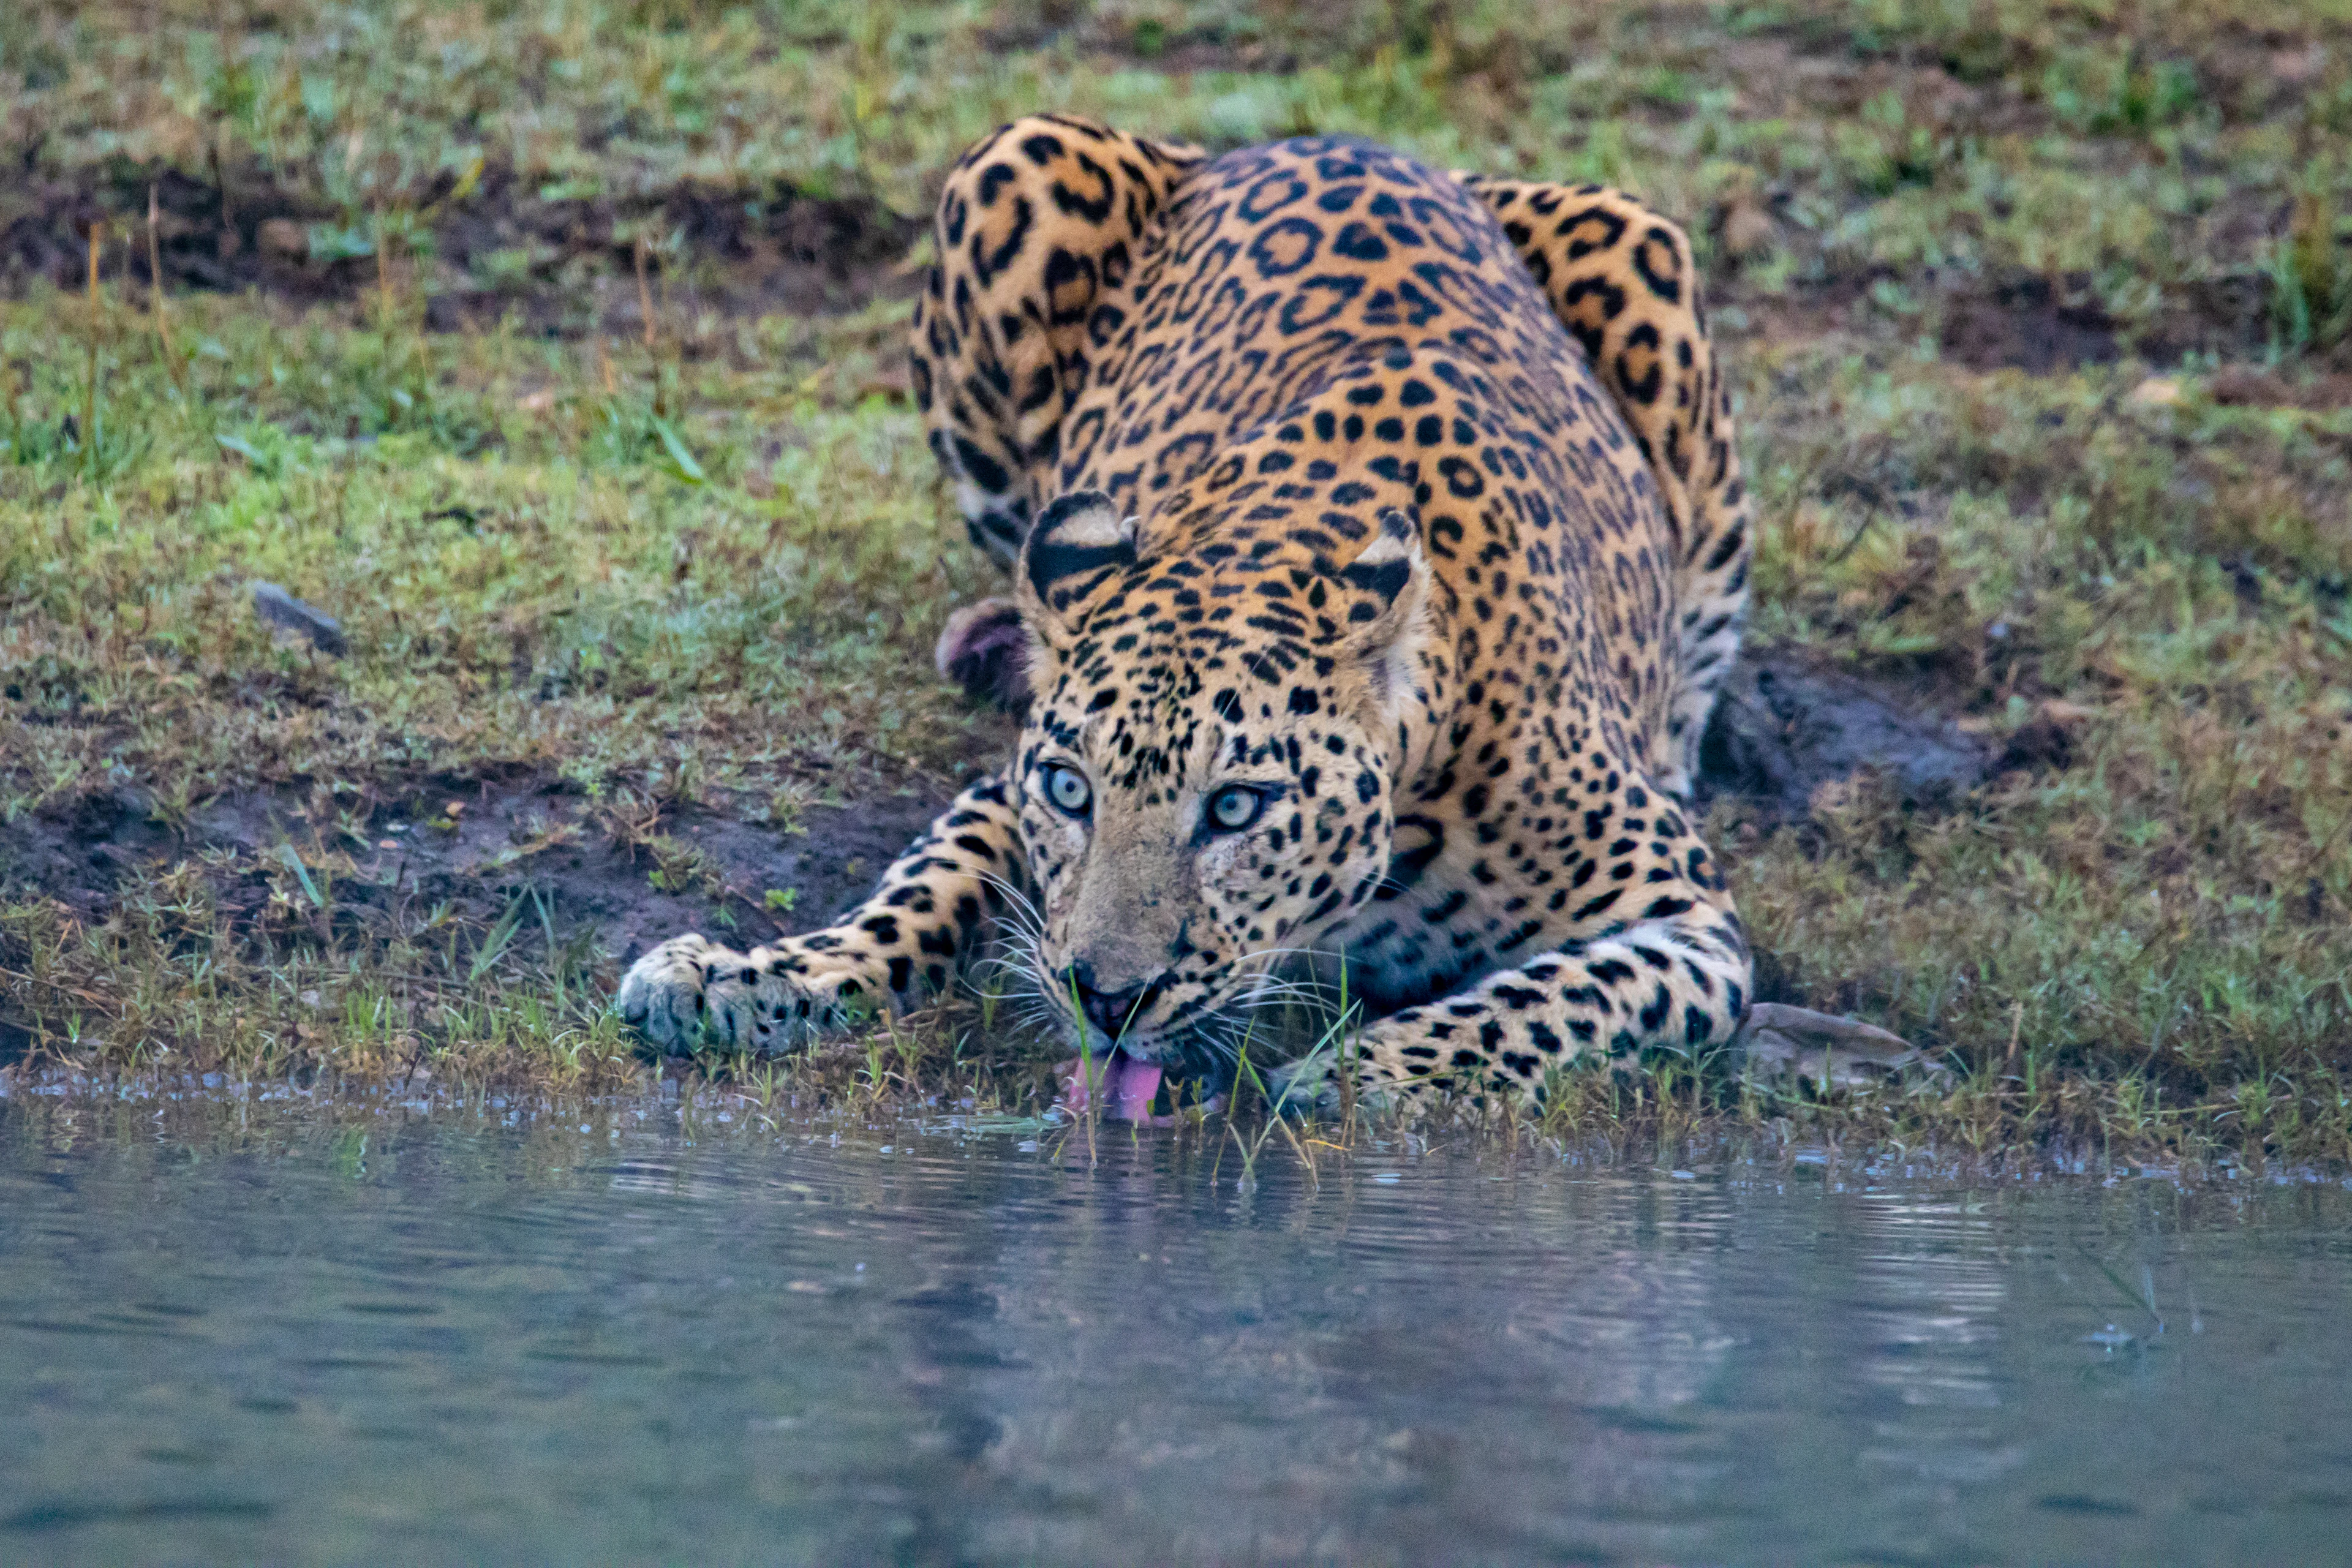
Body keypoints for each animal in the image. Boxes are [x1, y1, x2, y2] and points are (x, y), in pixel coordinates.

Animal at [617, 114, 1755, 1115]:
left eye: (1238, 808)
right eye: (1072, 791)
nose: (1108, 999)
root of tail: (1329, 138)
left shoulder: (1689, 921)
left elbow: (1551, 1000)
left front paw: (1362, 1076)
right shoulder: (1005, 789)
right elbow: (916, 894)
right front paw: (745, 978)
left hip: (1650, 268)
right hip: (1010, 170)